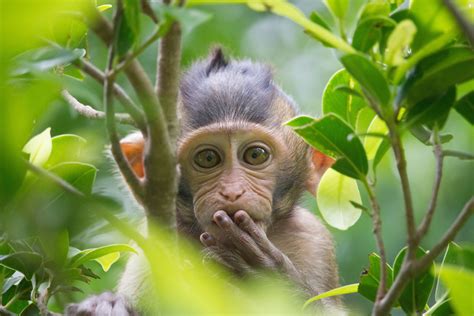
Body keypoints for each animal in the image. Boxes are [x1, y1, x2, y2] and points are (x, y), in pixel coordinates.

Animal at [66, 48, 340, 314]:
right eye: (208, 158)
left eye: (255, 155)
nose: (232, 191)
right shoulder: (153, 245)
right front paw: (108, 305)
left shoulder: (312, 239)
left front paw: (271, 277)